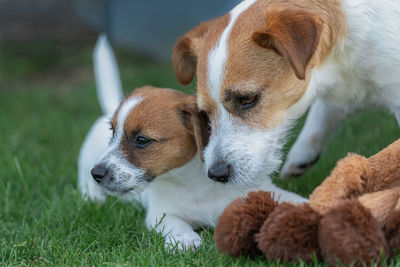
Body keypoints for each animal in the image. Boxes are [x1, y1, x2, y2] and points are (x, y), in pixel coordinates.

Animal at [77, 34, 306, 250]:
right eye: (113, 132)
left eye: (141, 140)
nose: (97, 173)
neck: (194, 181)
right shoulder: (160, 213)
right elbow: (174, 223)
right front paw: (185, 239)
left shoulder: (263, 191)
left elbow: (292, 199)